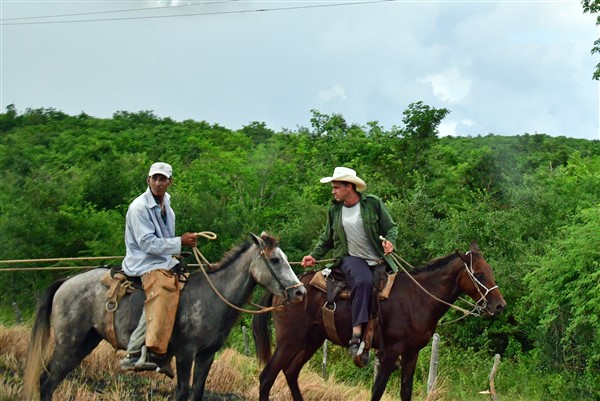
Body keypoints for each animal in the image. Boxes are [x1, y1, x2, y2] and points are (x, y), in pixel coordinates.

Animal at [22, 231, 304, 400]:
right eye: (275, 260)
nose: (299, 292)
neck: (212, 297)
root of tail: (66, 282)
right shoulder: (185, 353)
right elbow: (182, 391)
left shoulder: (206, 355)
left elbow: (197, 392)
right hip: (68, 343)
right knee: (47, 380)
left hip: (85, 342)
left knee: (52, 380)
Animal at [253, 241, 506, 400]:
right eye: (479, 275)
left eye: (491, 271)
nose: (499, 305)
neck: (419, 298)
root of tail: (287, 289)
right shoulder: (390, 353)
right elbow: (377, 392)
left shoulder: (411, 353)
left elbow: (406, 392)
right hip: (290, 340)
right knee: (267, 377)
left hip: (311, 340)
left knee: (290, 373)